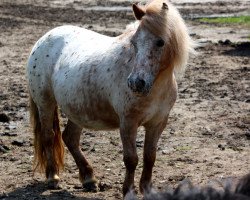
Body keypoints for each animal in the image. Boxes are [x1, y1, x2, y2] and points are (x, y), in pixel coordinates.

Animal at [26, 0, 194, 197]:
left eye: (160, 42)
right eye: (134, 43)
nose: (136, 83)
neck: (157, 87)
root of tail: (44, 39)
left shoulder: (158, 123)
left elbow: (150, 156)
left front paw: (146, 189)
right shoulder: (128, 122)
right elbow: (131, 159)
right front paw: (128, 190)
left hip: (78, 110)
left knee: (70, 138)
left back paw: (89, 179)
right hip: (45, 102)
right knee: (48, 136)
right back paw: (53, 177)